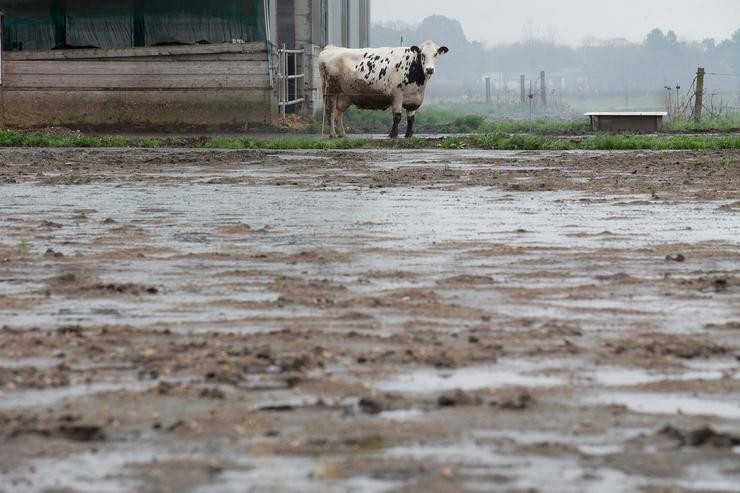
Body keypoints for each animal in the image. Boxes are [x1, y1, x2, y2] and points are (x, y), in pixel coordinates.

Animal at [316, 40, 448, 138]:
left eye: (436, 54)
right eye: (422, 54)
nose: (429, 69)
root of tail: (330, 48)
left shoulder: (413, 99)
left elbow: (411, 118)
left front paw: (408, 135)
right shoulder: (397, 95)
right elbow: (397, 116)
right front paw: (393, 135)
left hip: (344, 95)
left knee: (339, 113)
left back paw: (342, 134)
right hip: (330, 90)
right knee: (330, 111)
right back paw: (332, 135)